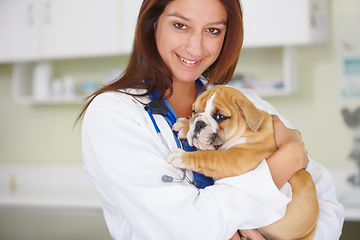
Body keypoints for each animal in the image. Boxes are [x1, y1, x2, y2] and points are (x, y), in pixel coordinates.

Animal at [167, 85, 320, 240]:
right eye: (194, 111)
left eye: (220, 117)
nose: (198, 123)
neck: (246, 129)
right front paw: (185, 125)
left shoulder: (234, 159)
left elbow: (208, 156)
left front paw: (182, 156)